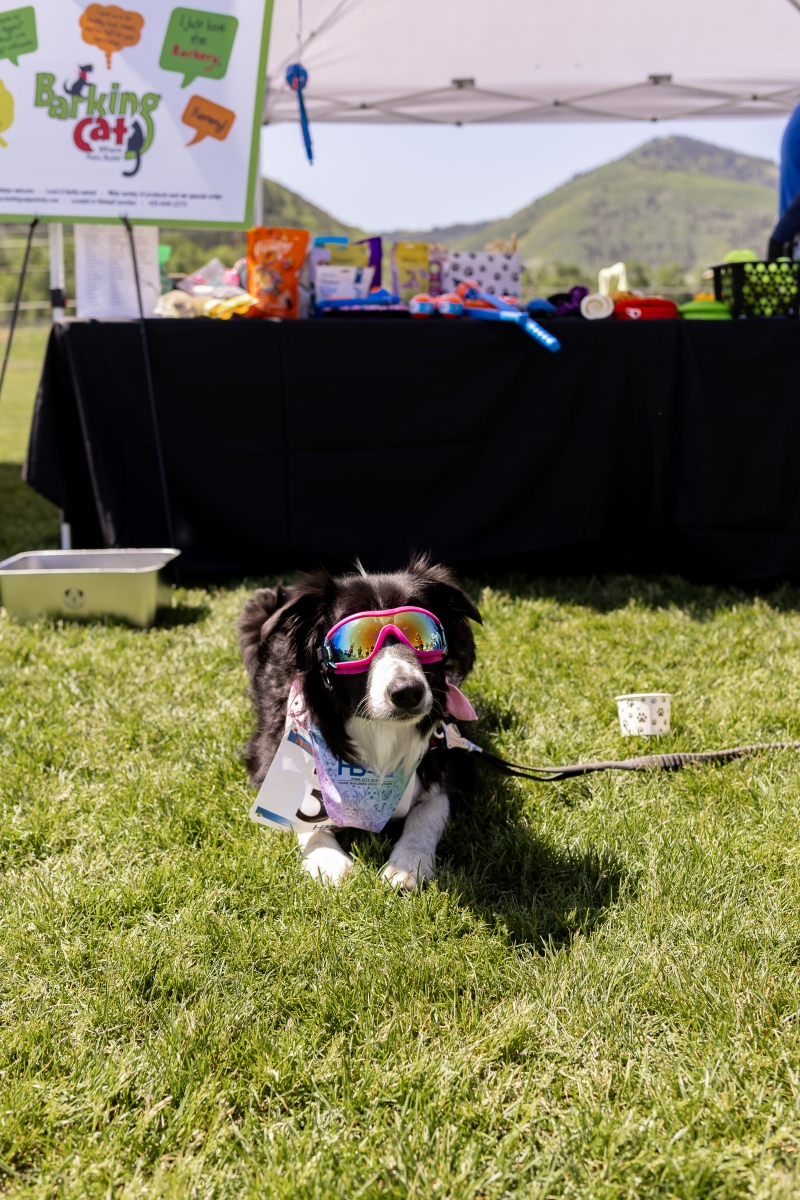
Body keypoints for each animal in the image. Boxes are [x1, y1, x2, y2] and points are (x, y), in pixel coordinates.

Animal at [238, 556, 481, 887]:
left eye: (420, 632)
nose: (408, 693)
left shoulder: (453, 755)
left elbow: (428, 810)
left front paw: (409, 862)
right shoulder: (271, 755)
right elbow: (297, 814)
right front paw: (327, 860)